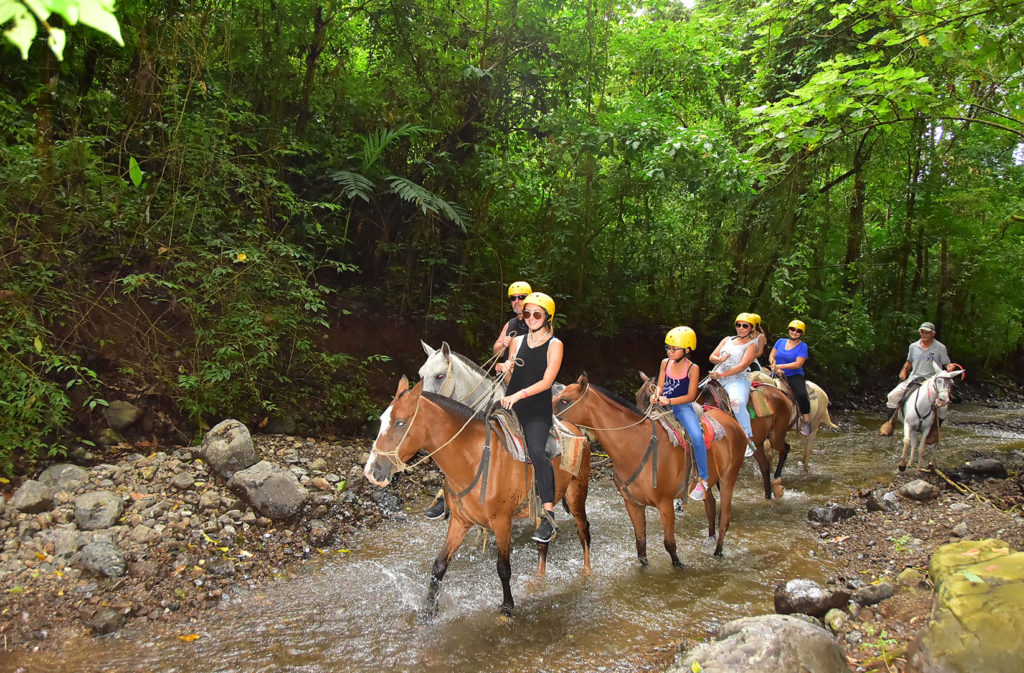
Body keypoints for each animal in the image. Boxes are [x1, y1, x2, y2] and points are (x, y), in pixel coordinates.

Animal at [366, 374, 593, 618]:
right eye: (382, 420)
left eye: (400, 422)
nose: (372, 472)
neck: (474, 458)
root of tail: (577, 430)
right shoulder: (460, 521)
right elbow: (439, 565)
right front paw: (429, 610)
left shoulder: (502, 522)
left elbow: (503, 568)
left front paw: (507, 607)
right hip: (540, 509)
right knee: (543, 542)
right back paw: (539, 578)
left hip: (576, 494)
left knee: (583, 531)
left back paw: (587, 572)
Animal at [552, 374, 745, 557]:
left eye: (564, 400)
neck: (638, 444)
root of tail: (729, 419)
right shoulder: (633, 504)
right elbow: (641, 546)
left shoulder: (666, 505)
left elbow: (670, 545)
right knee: (711, 505)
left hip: (729, 478)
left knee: (724, 518)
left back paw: (718, 551)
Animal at [630, 372, 790, 497]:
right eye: (636, 396)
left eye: (650, 397)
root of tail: (779, 392)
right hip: (758, 442)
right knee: (764, 466)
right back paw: (768, 495)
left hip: (776, 435)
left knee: (785, 449)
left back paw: (777, 481)